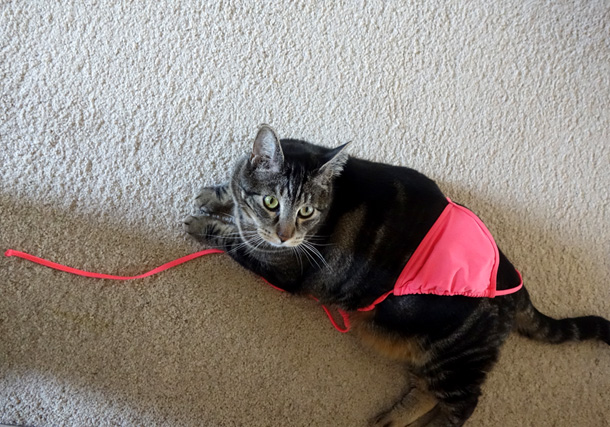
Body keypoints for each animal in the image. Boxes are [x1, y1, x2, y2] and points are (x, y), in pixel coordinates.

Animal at [184, 124, 609, 427]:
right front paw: (215, 196)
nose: (285, 234)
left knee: (464, 405)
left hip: (454, 355)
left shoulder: (281, 267)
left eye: (305, 211)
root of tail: (516, 287)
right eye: (272, 201)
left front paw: (203, 221)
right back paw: (390, 419)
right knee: (426, 391)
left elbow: (235, 239)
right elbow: (232, 198)